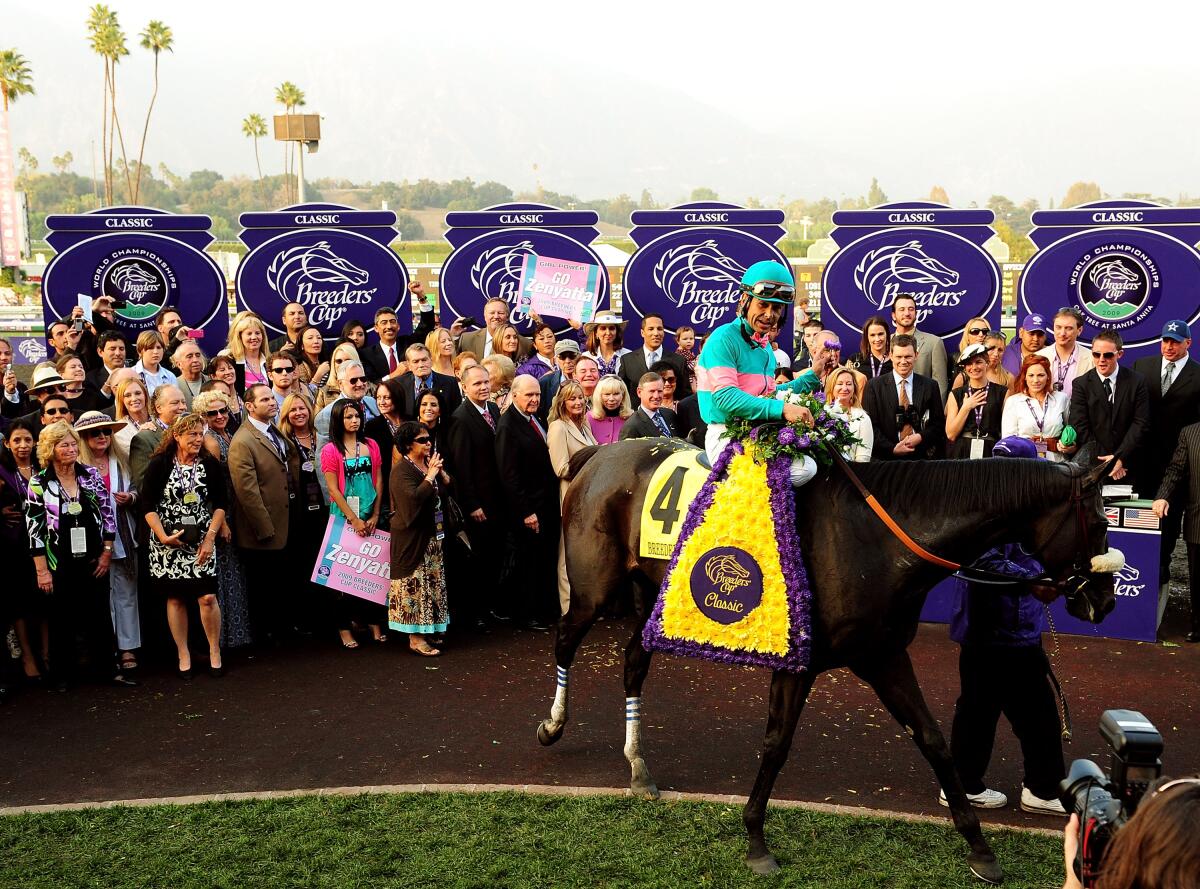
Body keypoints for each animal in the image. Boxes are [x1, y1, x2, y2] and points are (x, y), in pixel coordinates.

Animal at [540, 436, 1118, 883]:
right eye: (1098, 523)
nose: (1105, 599)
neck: (876, 537)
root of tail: (598, 453)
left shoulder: (884, 655)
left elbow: (934, 741)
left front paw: (980, 849)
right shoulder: (797, 663)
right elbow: (776, 745)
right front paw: (756, 840)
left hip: (650, 592)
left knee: (634, 661)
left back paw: (638, 765)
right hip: (595, 588)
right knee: (566, 641)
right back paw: (553, 724)